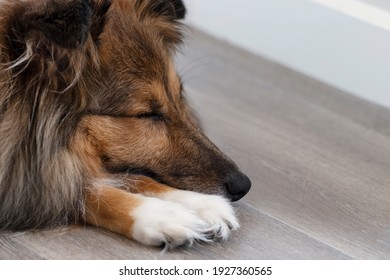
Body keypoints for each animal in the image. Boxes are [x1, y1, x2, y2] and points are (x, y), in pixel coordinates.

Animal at [0, 0, 250, 248]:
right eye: (147, 114)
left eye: (179, 96)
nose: (243, 185)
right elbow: (69, 190)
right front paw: (162, 215)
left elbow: (126, 176)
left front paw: (202, 203)